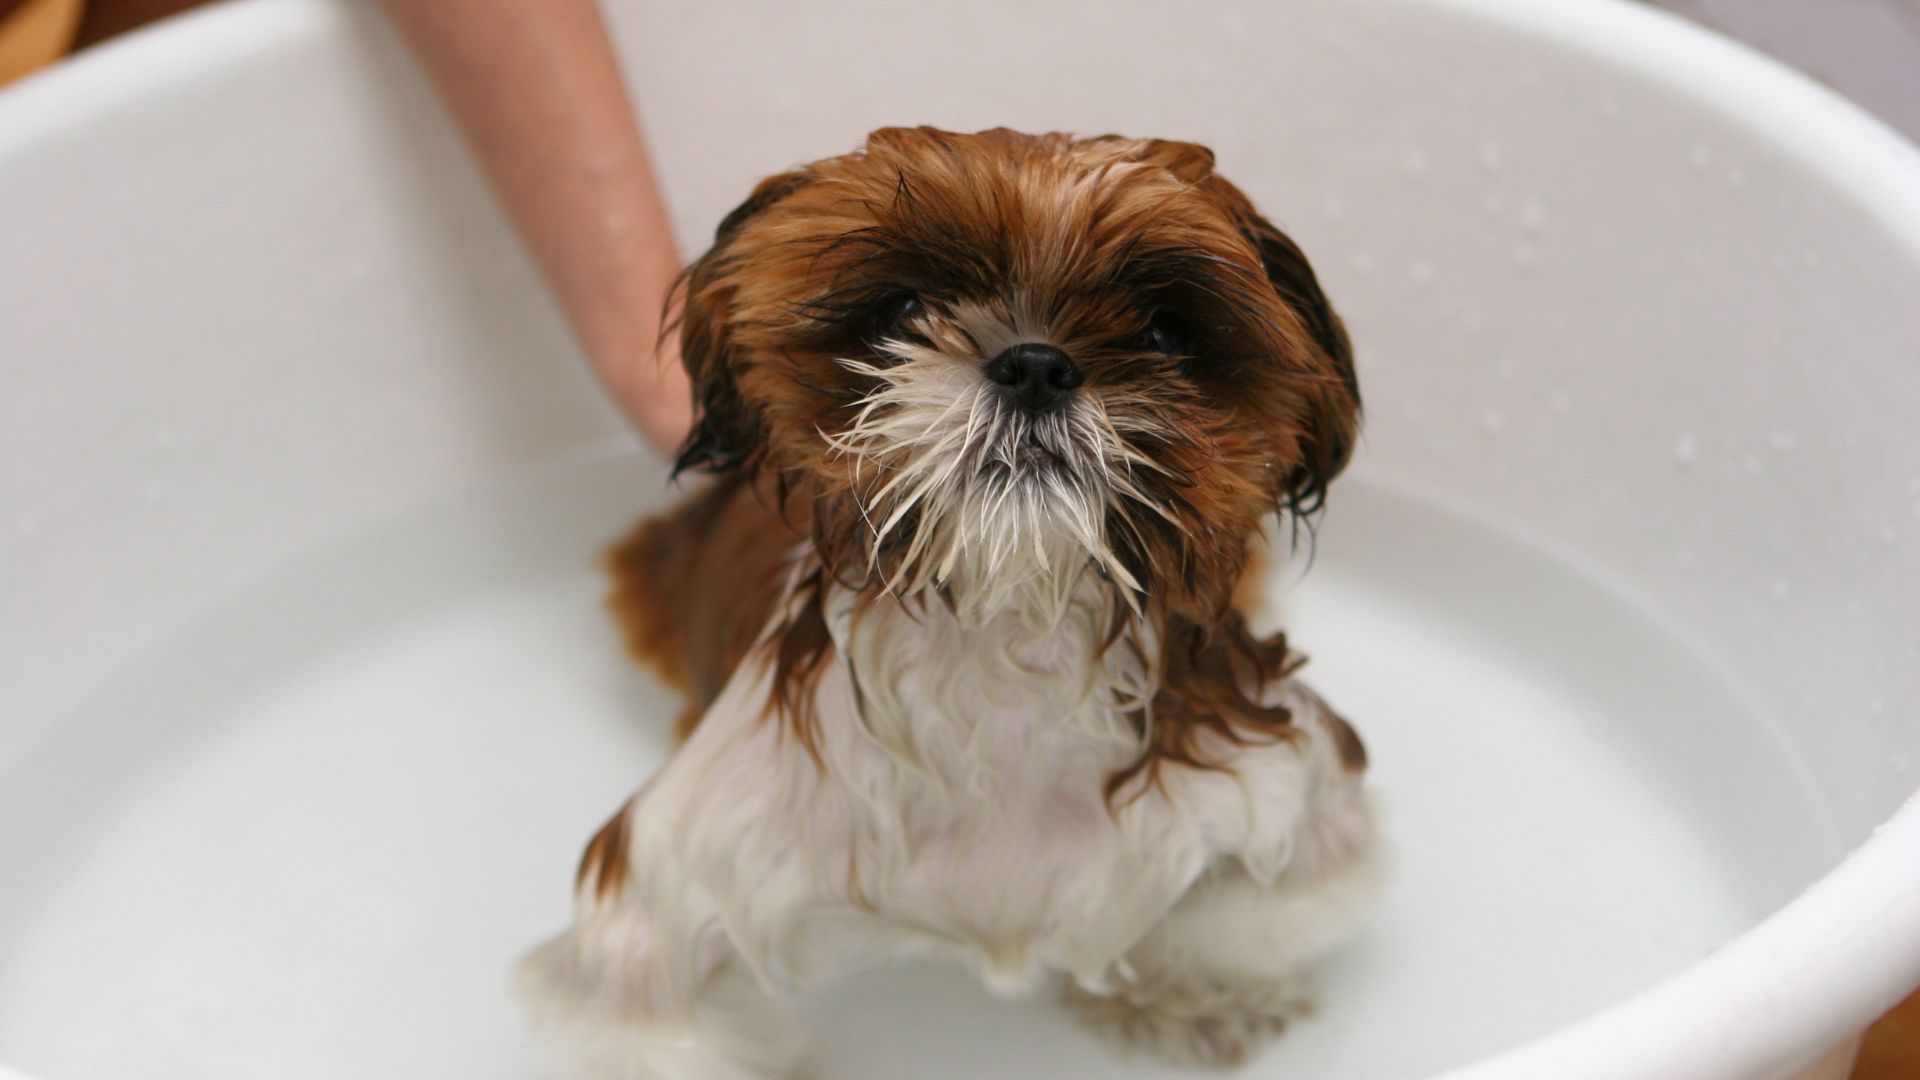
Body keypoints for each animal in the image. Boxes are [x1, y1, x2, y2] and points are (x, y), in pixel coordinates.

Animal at [518, 127, 1374, 1076]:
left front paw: (1188, 993)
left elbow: (1238, 910)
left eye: (1163, 330)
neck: (1009, 643)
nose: (1035, 364)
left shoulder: (1279, 777)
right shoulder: (661, 894)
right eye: (902, 312)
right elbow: (653, 1001)